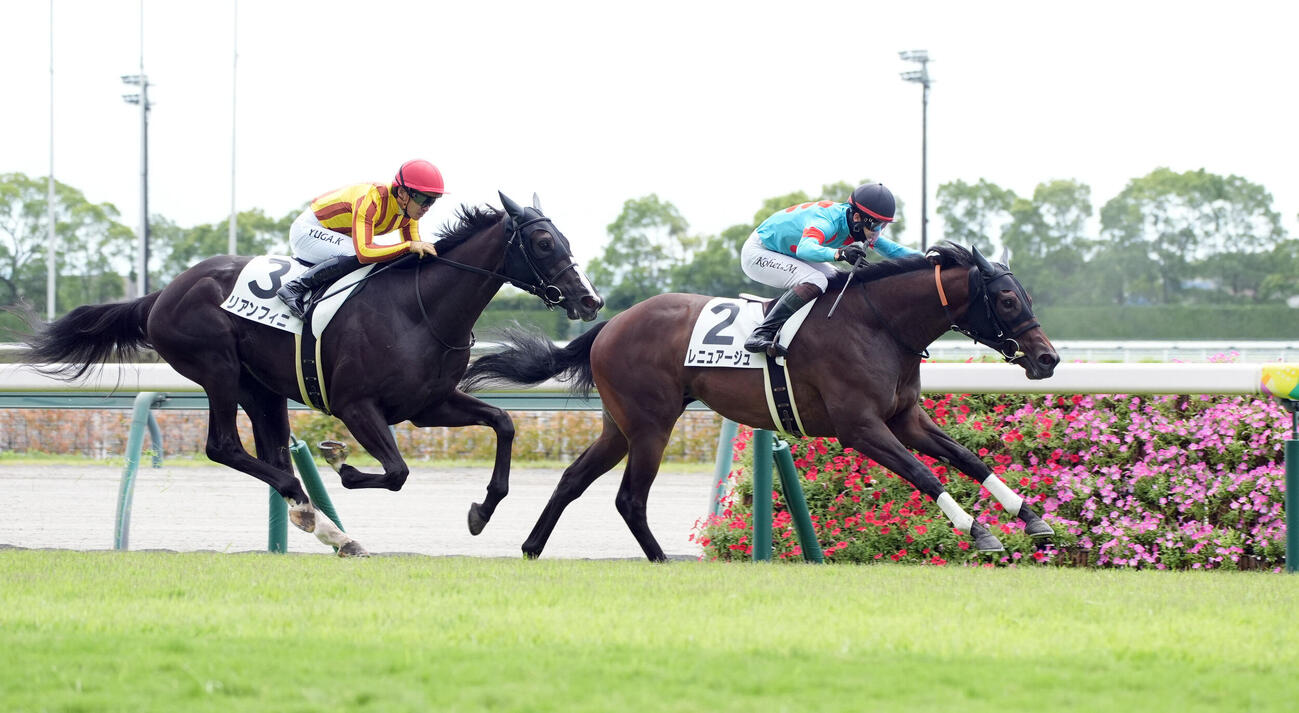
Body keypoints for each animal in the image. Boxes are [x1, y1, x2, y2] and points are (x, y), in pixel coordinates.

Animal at [22, 192, 603, 556]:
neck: (421, 309)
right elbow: (396, 472)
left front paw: (482, 510)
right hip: (217, 368)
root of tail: (161, 294)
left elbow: (503, 424)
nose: (589, 300)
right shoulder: (357, 406)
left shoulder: (428, 404)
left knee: (271, 453)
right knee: (225, 447)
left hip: (261, 388)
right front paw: (340, 463)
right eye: (545, 242)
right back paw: (312, 510)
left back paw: (330, 530)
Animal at [461, 242, 1060, 561]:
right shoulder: (861, 427)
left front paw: (1031, 517)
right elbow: (923, 472)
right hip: (651, 425)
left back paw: (532, 546)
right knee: (629, 498)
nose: (1048, 358)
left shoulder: (904, 418)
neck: (879, 324)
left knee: (572, 479)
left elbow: (967, 458)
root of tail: (611, 324)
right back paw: (660, 559)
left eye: (1026, 295)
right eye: (1007, 299)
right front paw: (977, 530)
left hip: (620, 426)